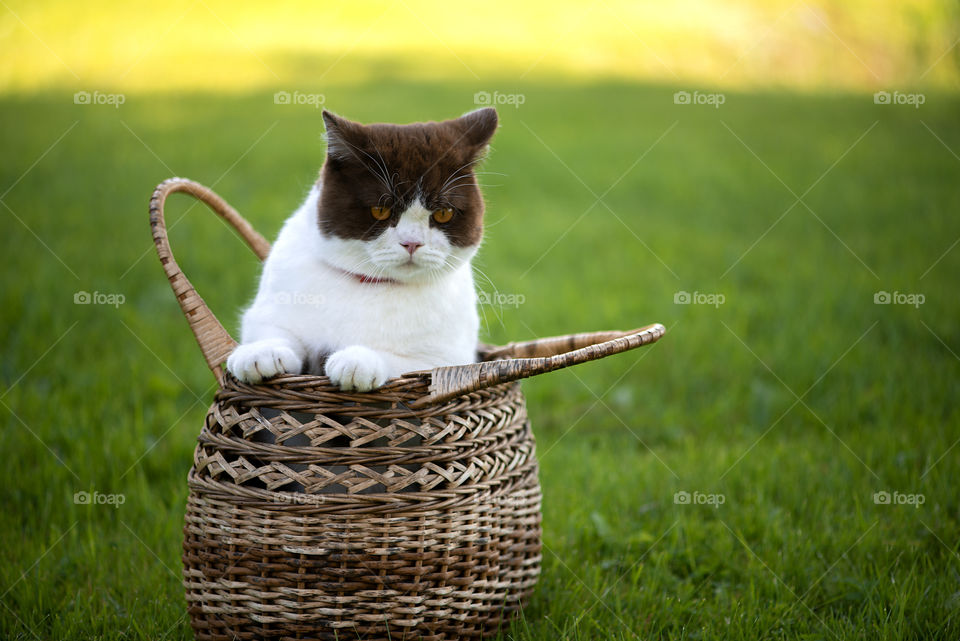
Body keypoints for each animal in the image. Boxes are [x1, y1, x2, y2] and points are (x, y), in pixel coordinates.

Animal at [223, 107, 496, 390]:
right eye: (380, 210)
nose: (412, 242)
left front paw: (357, 361)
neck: (370, 283)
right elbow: (272, 328)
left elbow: (413, 364)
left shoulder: (449, 357)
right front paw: (260, 353)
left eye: (443, 213)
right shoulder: (267, 310)